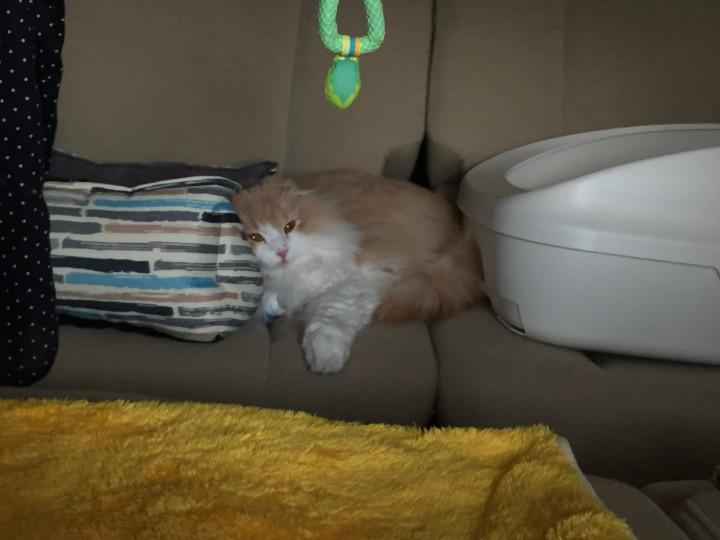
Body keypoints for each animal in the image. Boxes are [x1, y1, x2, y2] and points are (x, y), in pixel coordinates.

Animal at [232, 170, 484, 374]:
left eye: (289, 226)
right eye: (255, 237)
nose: (282, 252)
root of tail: (459, 231)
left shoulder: (353, 281)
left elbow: (328, 320)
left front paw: (325, 359)